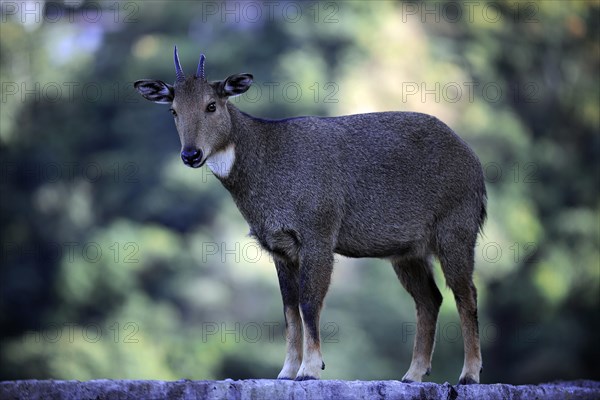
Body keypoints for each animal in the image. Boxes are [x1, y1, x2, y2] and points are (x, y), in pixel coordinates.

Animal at [134, 47, 486, 384]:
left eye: (212, 105)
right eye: (173, 110)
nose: (191, 154)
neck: (267, 165)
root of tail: (475, 165)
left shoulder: (318, 233)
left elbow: (309, 303)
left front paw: (311, 369)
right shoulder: (279, 247)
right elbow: (289, 310)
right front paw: (286, 371)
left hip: (457, 229)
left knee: (466, 293)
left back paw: (469, 374)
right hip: (406, 251)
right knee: (430, 299)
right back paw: (413, 374)